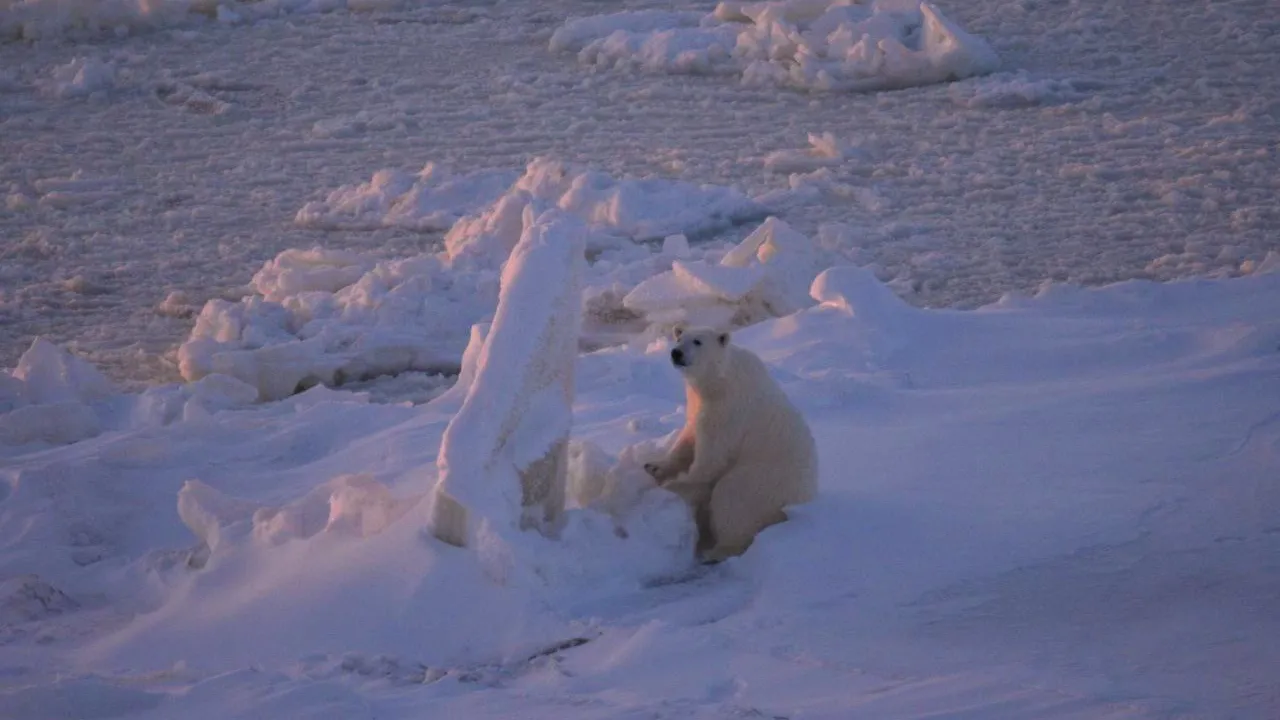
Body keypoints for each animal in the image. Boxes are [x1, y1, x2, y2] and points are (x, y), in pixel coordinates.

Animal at [645, 325, 814, 561]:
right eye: (679, 337)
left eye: (697, 341)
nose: (676, 353)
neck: (720, 381)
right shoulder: (699, 404)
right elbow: (688, 436)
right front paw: (654, 466)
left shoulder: (729, 411)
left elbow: (711, 457)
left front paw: (673, 484)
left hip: (761, 482)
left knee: (732, 500)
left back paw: (713, 552)